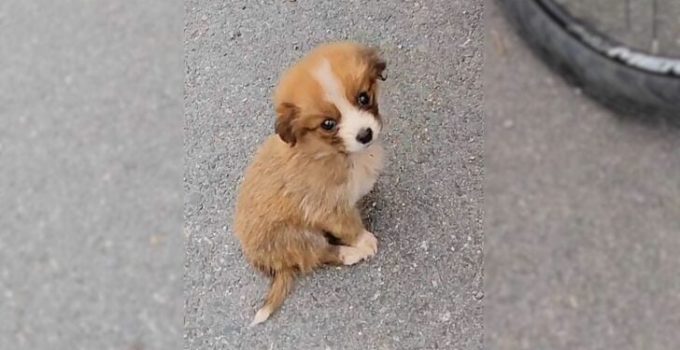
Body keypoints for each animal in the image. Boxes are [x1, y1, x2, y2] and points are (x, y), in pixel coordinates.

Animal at [234, 41, 386, 326]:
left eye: (363, 98)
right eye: (328, 124)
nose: (365, 135)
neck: (330, 151)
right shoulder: (326, 206)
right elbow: (349, 225)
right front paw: (363, 240)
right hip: (298, 236)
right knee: (319, 254)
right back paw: (352, 253)